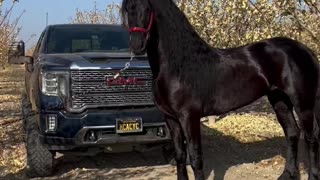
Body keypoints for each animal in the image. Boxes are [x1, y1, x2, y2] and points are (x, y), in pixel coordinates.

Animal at [120, 0, 320, 180]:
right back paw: (288, 174)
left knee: (311, 137)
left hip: (303, 103)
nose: (137, 45)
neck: (179, 67)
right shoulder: (171, 119)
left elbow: (195, 158)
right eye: (128, 9)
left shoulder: (189, 118)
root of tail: (304, 49)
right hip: (279, 99)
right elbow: (180, 156)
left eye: (148, 9)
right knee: (292, 133)